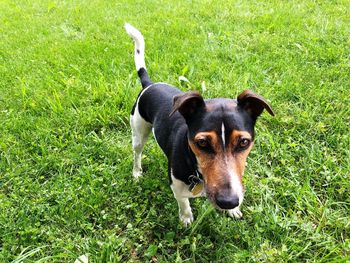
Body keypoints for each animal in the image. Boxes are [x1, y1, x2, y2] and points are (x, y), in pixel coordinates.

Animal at [124, 23, 274, 227]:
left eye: (244, 142)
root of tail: (149, 84)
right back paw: (137, 172)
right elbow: (183, 202)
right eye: (202, 143)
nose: (229, 202)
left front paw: (233, 210)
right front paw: (186, 218)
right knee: (137, 153)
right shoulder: (176, 186)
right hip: (138, 132)